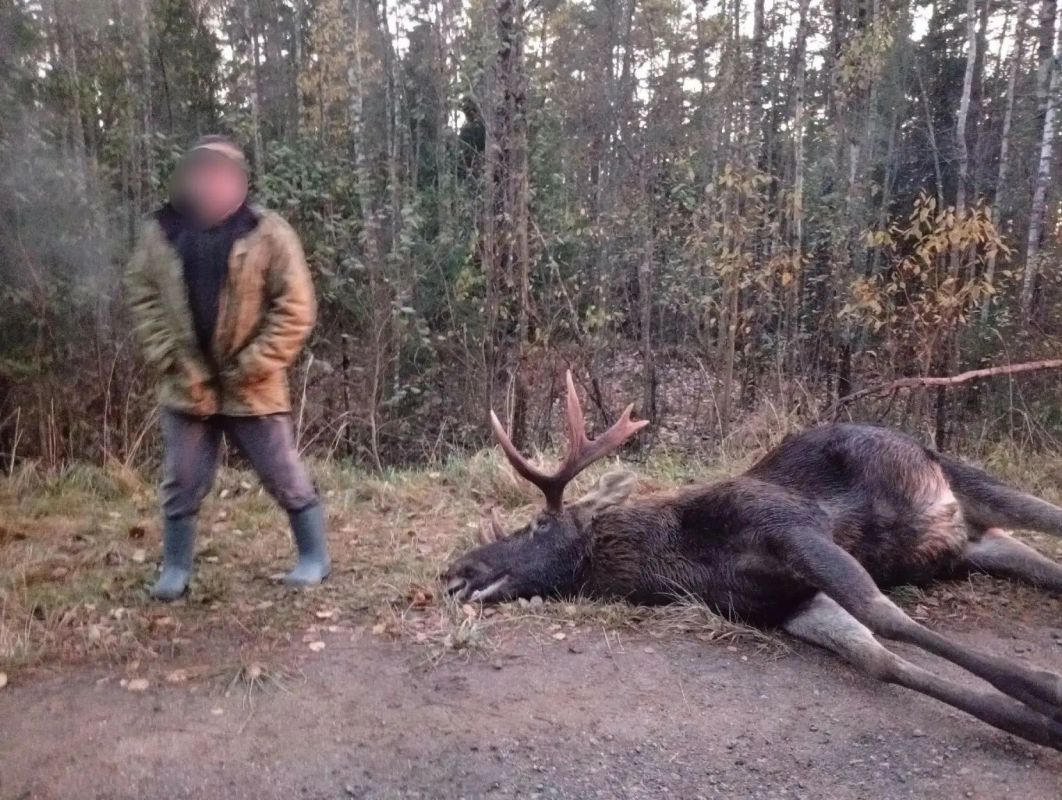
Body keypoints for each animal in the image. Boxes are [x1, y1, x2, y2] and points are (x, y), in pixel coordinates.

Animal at [443, 372, 1062, 751]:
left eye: (538, 525)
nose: (453, 572)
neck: (686, 560)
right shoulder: (785, 604)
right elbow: (878, 660)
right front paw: (1034, 723)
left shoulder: (793, 529)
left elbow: (885, 616)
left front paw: (1048, 691)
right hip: (971, 543)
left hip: (962, 476)